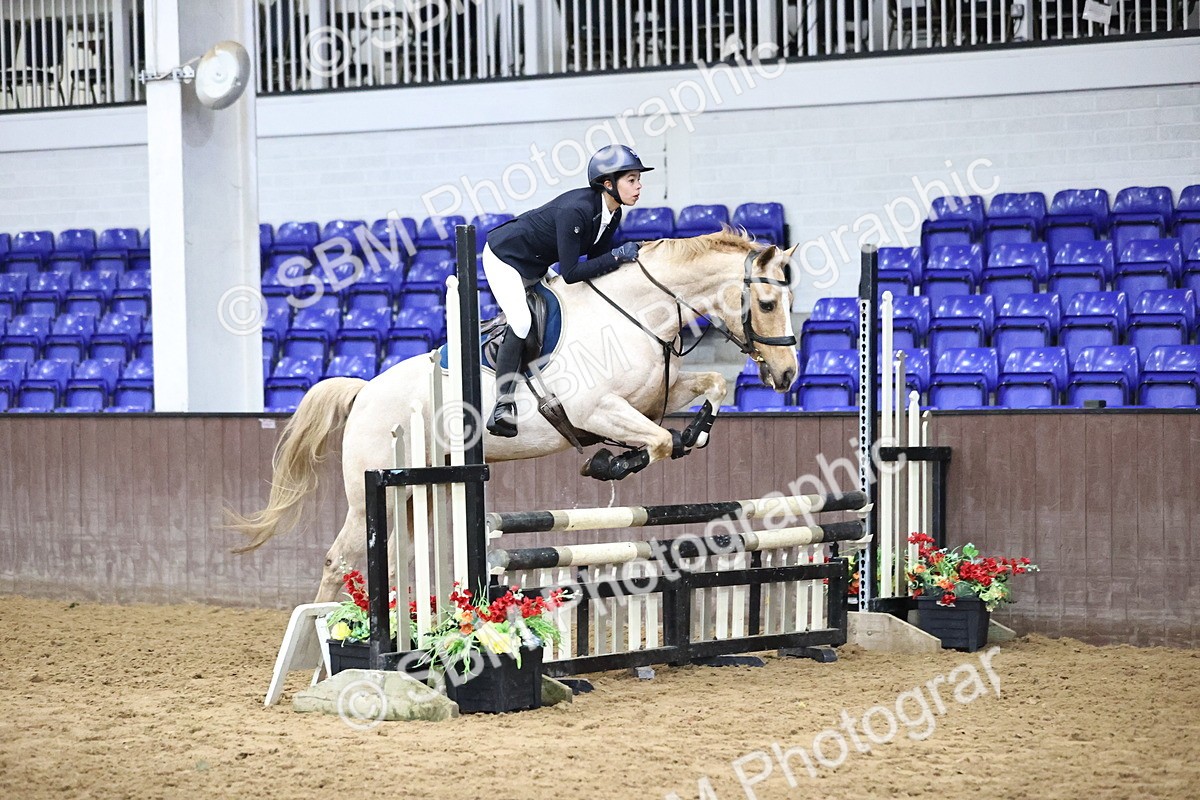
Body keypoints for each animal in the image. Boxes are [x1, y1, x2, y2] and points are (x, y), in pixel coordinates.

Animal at [229, 231, 800, 602]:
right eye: (769, 303)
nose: (788, 374)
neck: (637, 312)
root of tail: (365, 390)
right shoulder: (600, 409)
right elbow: (655, 442)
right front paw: (609, 464)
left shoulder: (652, 399)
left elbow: (710, 390)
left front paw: (695, 433)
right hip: (376, 494)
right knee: (339, 559)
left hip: (419, 493)